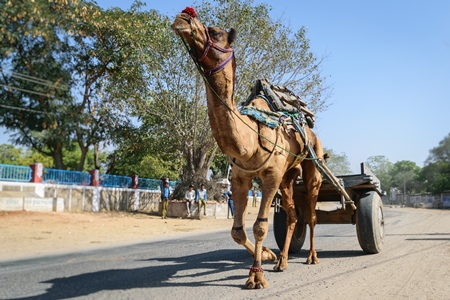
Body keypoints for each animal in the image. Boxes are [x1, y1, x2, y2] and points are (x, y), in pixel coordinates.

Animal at [171, 7, 324, 288]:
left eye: (215, 33)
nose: (183, 18)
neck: (249, 140)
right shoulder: (240, 178)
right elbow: (237, 231)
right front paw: (267, 255)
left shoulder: (271, 174)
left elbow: (260, 226)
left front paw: (256, 277)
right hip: (287, 177)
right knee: (293, 214)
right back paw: (282, 261)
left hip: (312, 164)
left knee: (311, 213)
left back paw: (311, 256)